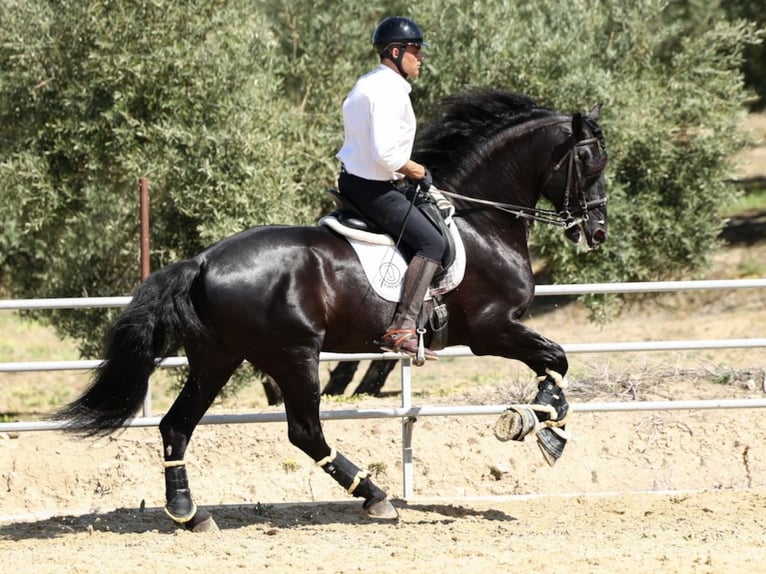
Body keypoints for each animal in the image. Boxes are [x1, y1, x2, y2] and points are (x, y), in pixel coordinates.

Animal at [54, 88, 608, 532]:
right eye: (590, 161)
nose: (597, 231)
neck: (481, 221)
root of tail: (204, 260)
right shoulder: (492, 328)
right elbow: (556, 359)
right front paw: (539, 426)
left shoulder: (497, 330)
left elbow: (553, 363)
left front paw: (541, 424)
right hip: (293, 354)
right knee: (304, 432)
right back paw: (375, 497)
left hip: (217, 358)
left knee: (177, 426)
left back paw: (189, 513)